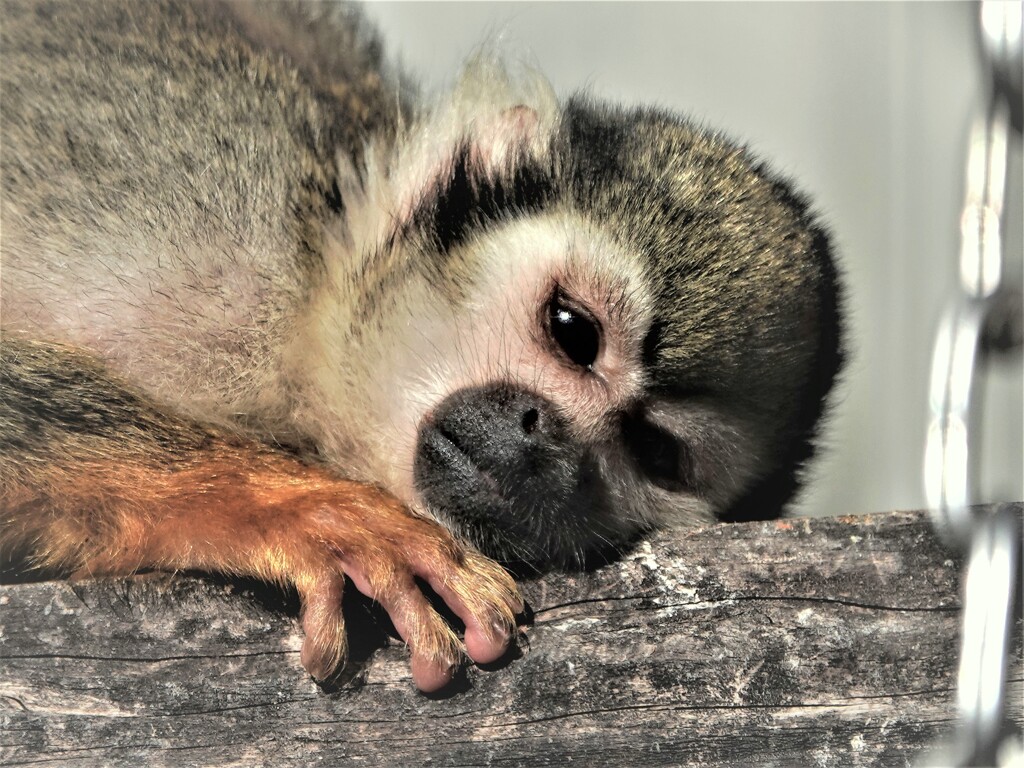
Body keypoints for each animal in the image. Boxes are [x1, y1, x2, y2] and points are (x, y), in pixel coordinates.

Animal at [2, 0, 839, 696]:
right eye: (574, 332)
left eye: (656, 452)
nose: (543, 438)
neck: (312, 299)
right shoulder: (197, 235)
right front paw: (298, 507)